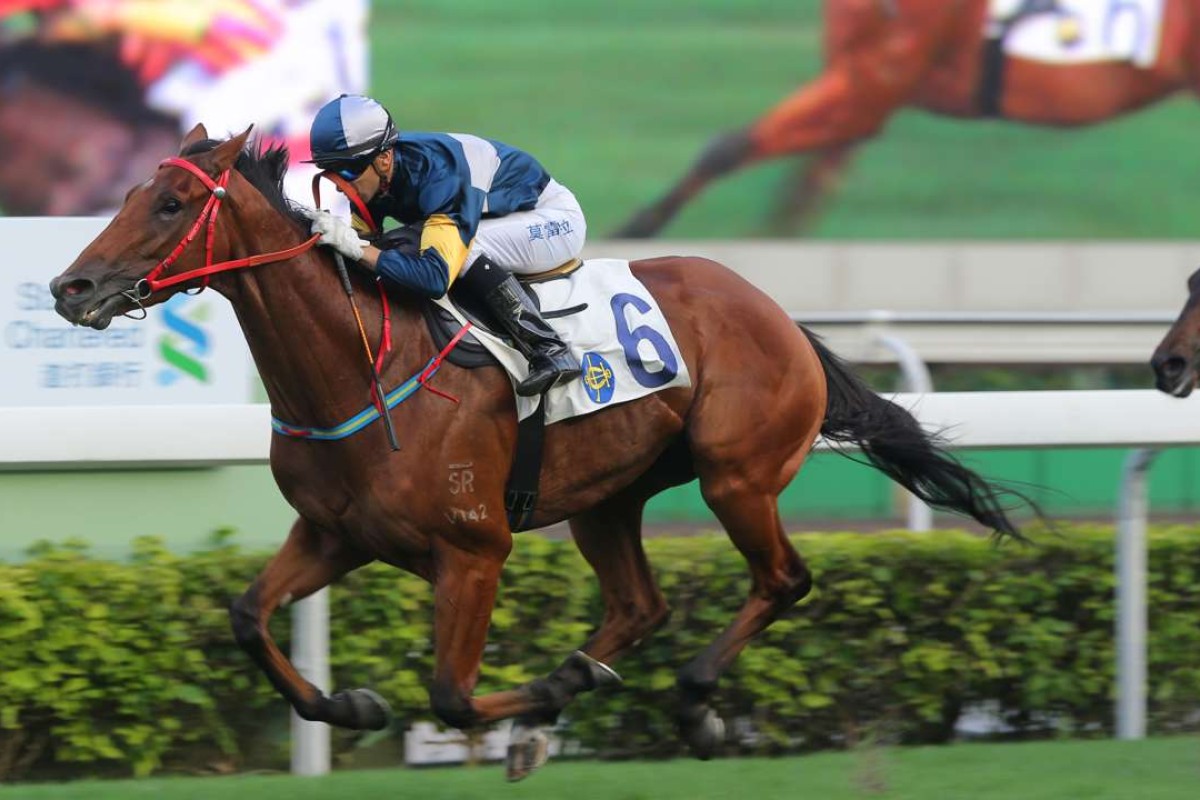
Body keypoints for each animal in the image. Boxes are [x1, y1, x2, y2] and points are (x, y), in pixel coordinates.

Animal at [46, 128, 1022, 777]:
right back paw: (576, 685)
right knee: (640, 605)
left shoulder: (473, 550)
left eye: (170, 203)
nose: (71, 286)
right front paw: (353, 703)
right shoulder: (335, 534)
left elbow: (449, 694)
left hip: (737, 475)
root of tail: (775, 312)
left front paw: (532, 710)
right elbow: (249, 617)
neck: (360, 368)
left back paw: (690, 703)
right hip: (607, 498)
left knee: (782, 579)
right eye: (130, 195)